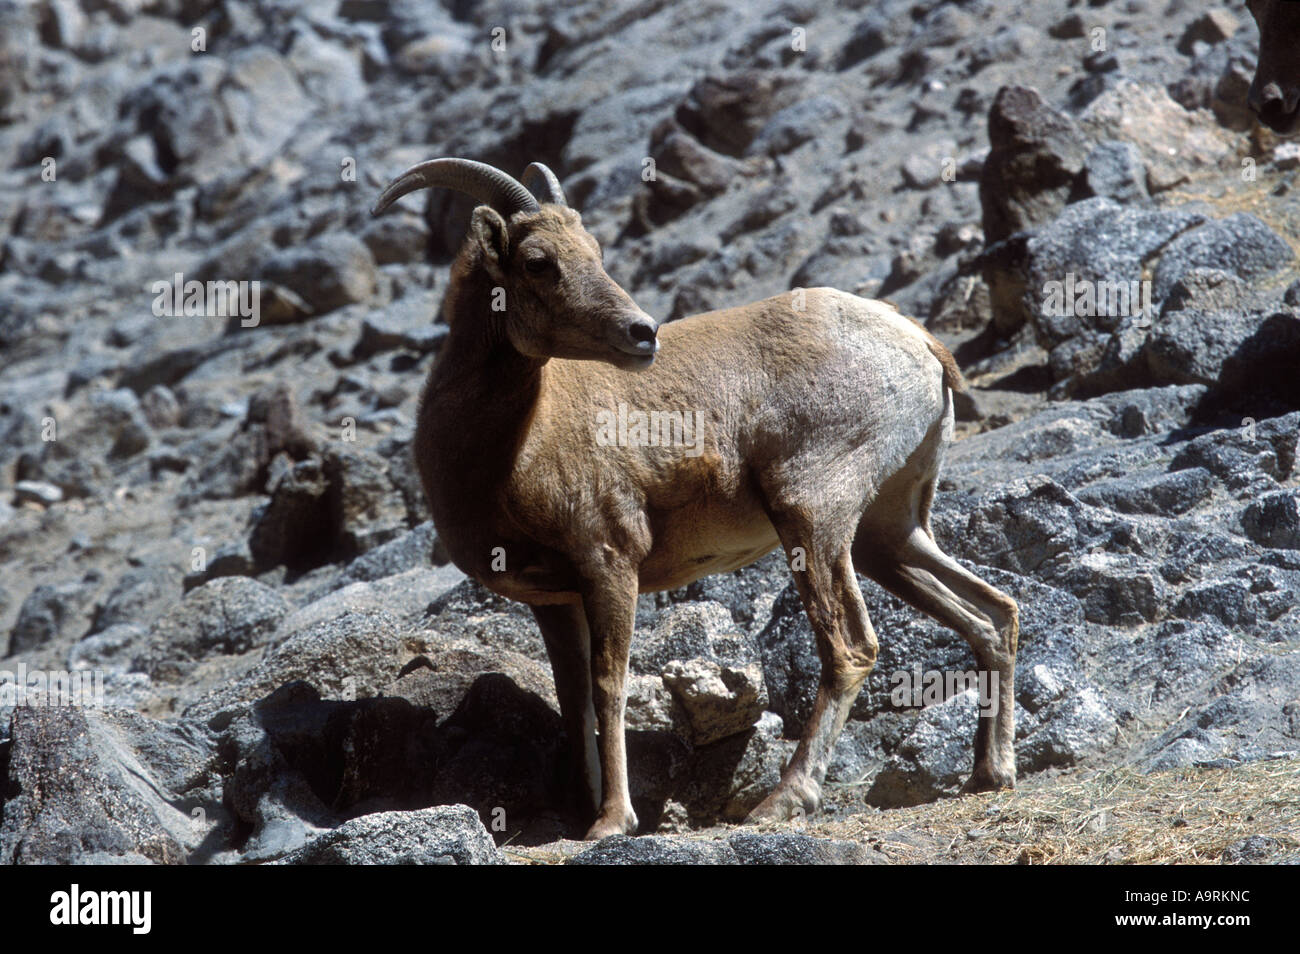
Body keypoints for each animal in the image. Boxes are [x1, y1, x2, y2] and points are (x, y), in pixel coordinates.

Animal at [371, 157, 1020, 840]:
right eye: (538, 261)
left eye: (594, 252)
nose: (641, 333)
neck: (513, 447)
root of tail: (918, 345)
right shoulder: (555, 601)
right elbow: (574, 699)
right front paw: (579, 812)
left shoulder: (610, 563)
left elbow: (609, 685)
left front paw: (612, 822)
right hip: (887, 536)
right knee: (992, 614)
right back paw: (990, 772)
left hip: (811, 518)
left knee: (851, 648)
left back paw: (782, 802)